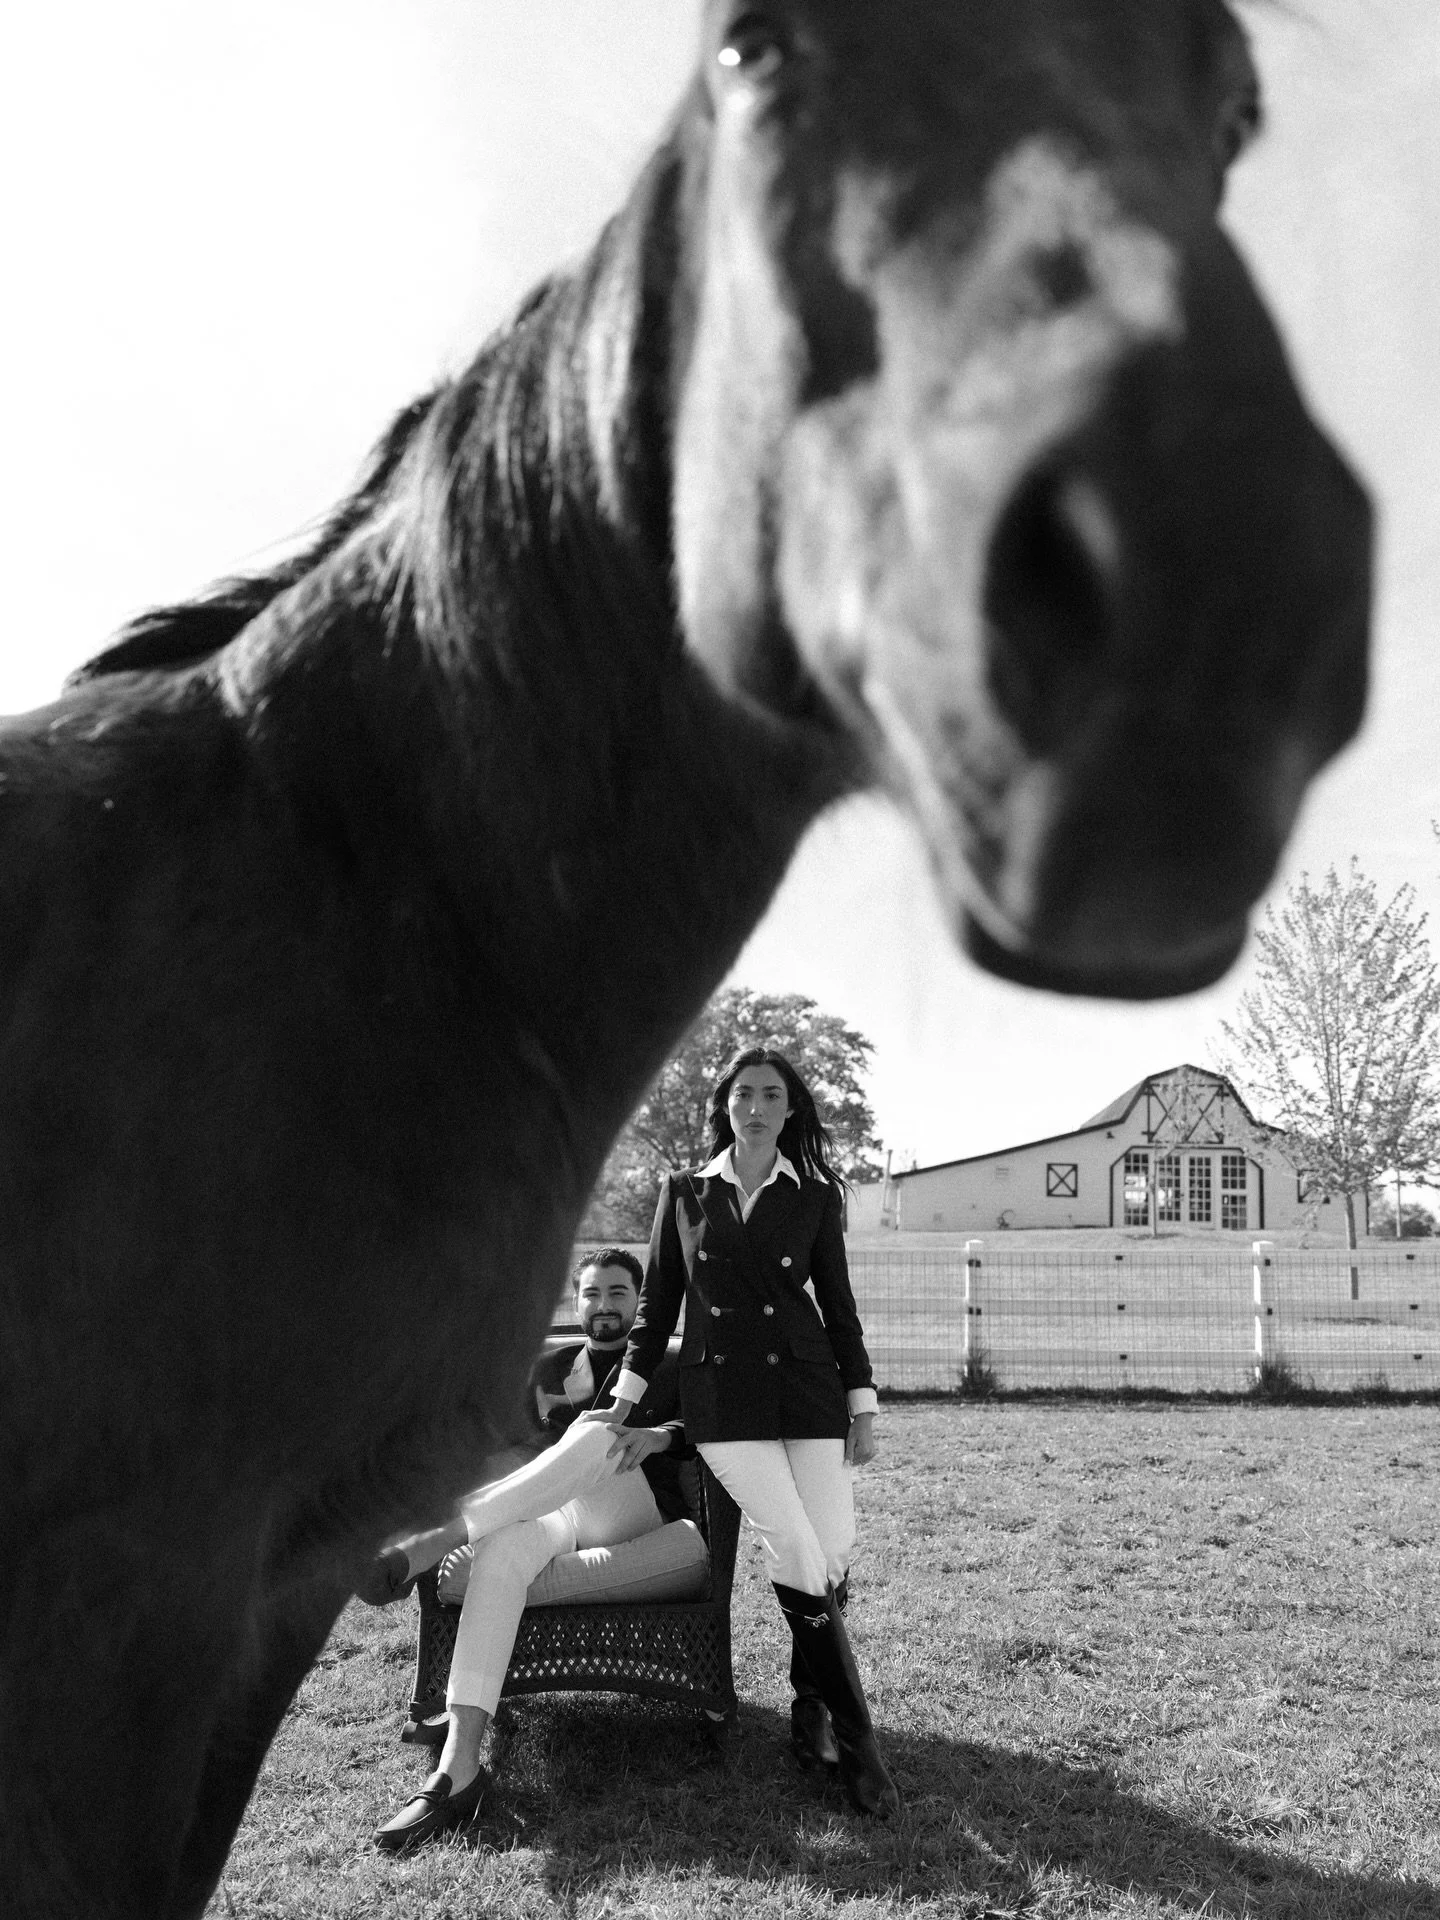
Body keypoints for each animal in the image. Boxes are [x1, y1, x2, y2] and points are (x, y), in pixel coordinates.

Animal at [0, 3, 1370, 1912]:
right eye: (752, 46)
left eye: (1236, 102)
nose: (1211, 589)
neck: (309, 898)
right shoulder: (117, 1613)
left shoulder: (254, 1598)